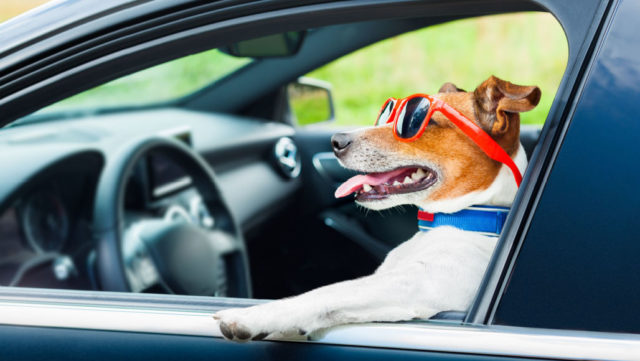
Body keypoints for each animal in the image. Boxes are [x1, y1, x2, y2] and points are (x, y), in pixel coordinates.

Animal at [214, 75, 540, 340]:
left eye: (417, 121)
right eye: (388, 113)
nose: (336, 140)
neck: (462, 219)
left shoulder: (417, 285)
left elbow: (326, 291)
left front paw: (251, 316)